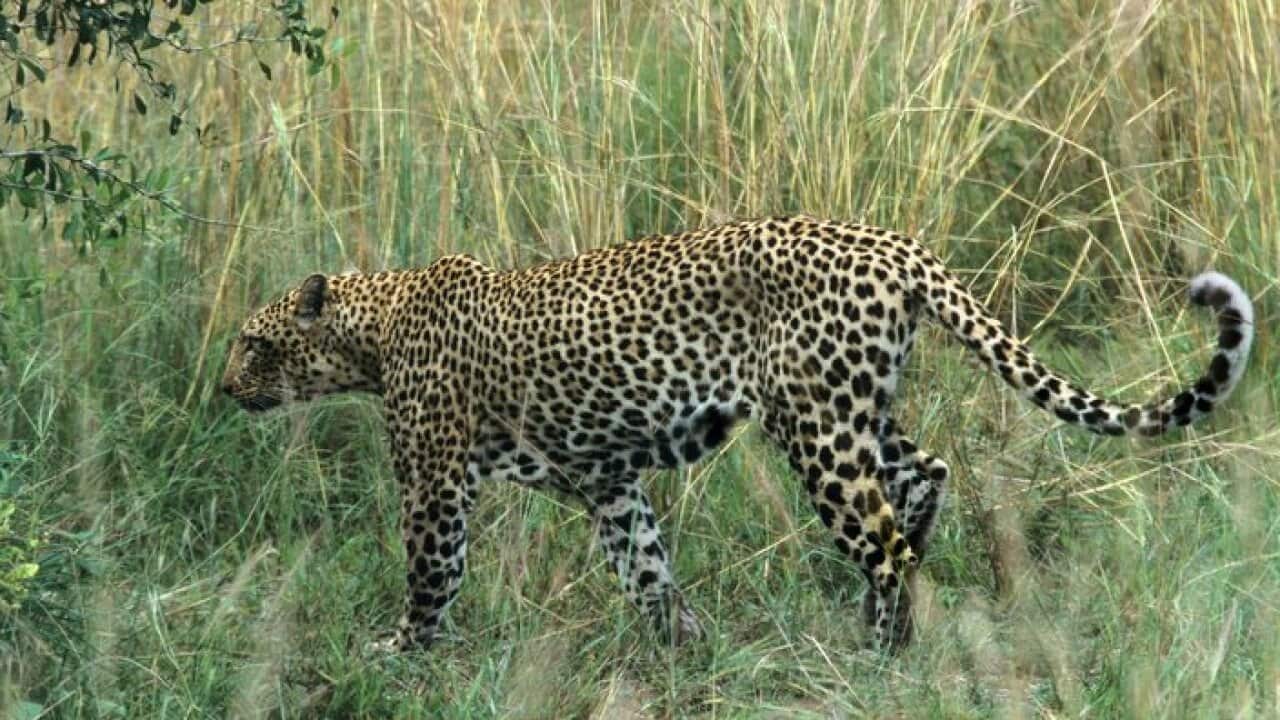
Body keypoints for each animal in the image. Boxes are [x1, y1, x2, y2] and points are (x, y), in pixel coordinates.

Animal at [220, 215, 1254, 651]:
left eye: (253, 342)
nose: (225, 386)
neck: (373, 327)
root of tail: (896, 244)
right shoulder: (608, 484)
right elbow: (645, 568)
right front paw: (684, 649)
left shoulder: (434, 484)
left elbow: (430, 577)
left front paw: (400, 653)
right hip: (855, 410)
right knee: (925, 473)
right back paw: (879, 617)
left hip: (817, 430)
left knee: (883, 536)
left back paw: (889, 651)